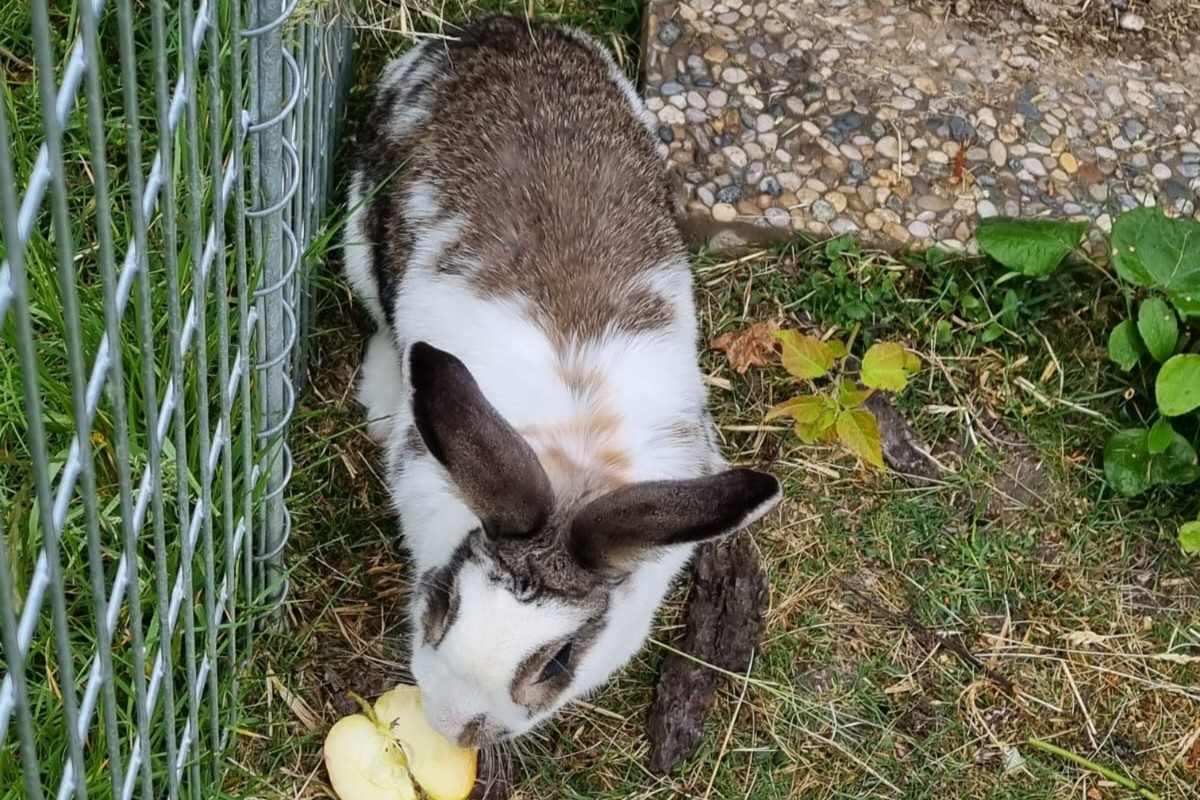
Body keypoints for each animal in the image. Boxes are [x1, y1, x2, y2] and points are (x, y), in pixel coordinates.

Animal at [340, 14, 782, 749]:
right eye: (444, 601)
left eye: (560, 660)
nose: (452, 726)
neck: (571, 472)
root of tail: (490, 34)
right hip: (359, 233)